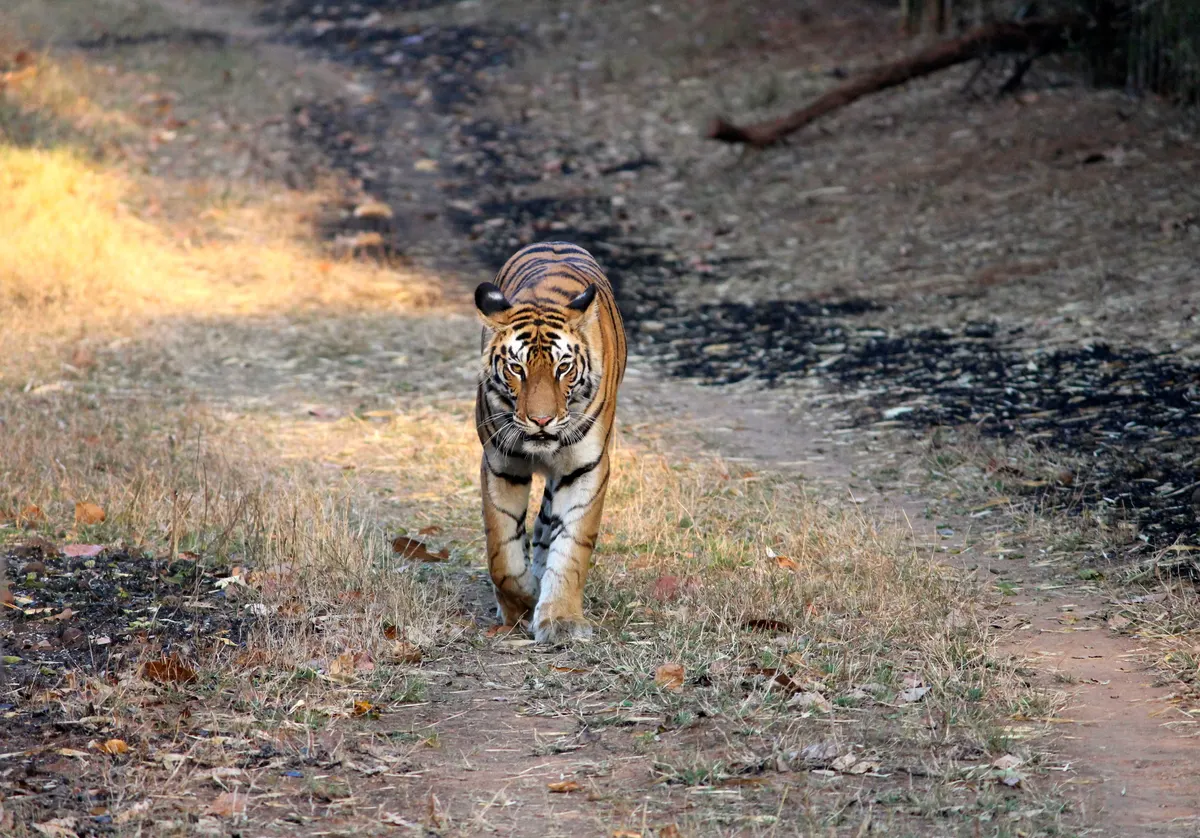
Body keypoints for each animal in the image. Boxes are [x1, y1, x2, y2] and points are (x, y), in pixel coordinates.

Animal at [474, 241, 627, 644]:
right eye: (517, 369)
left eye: (563, 368)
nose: (541, 421)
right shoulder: (500, 463)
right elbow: (502, 551)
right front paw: (521, 604)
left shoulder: (586, 468)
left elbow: (572, 547)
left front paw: (560, 619)